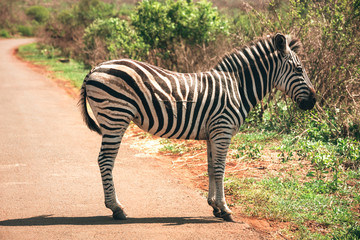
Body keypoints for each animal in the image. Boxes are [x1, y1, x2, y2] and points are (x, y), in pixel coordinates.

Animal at [79, 33, 316, 221]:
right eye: (299, 69)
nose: (313, 101)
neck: (237, 88)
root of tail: (95, 68)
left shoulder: (213, 133)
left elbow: (211, 168)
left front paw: (215, 206)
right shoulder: (223, 130)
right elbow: (220, 169)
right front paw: (225, 209)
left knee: (104, 160)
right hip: (115, 117)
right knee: (105, 160)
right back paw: (117, 208)